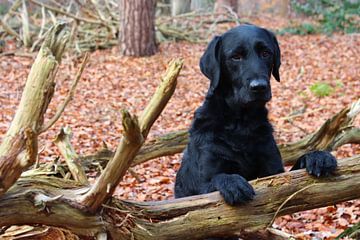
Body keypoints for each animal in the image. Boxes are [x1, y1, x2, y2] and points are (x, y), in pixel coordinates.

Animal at [174, 24, 338, 238]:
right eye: (235, 57)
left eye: (266, 53)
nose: (259, 86)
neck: (241, 124)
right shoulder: (204, 184)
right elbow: (216, 180)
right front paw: (233, 182)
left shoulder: (275, 173)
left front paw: (318, 157)